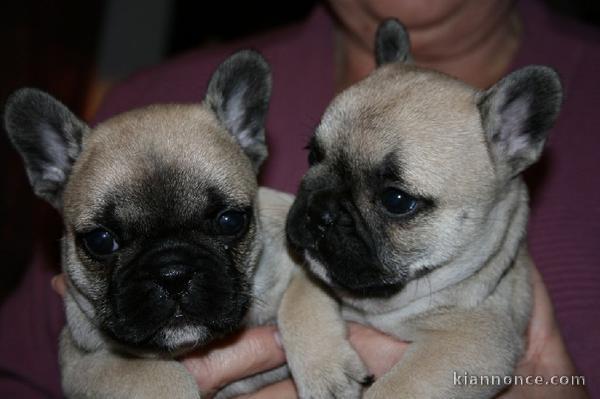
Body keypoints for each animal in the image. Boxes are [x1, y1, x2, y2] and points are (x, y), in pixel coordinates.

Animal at [282, 19, 564, 399]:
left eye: (396, 201)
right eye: (312, 155)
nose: (319, 210)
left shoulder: (473, 343)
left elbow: (396, 389)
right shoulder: (313, 274)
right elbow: (297, 298)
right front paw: (325, 372)